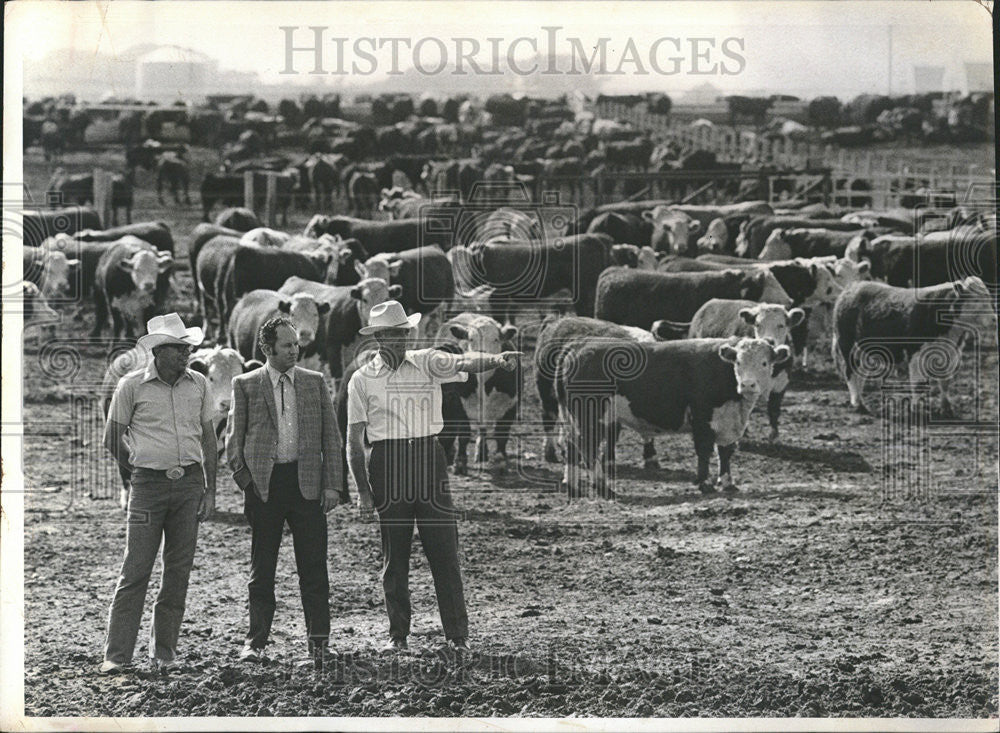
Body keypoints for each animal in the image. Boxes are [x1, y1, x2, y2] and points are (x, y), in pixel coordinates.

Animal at [556, 338, 788, 498]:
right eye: (738, 362)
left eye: (765, 363)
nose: (747, 385)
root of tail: (578, 346)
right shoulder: (702, 418)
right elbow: (704, 451)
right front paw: (704, 483)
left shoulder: (728, 424)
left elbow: (725, 452)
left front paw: (728, 482)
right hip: (590, 417)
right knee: (588, 448)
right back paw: (602, 486)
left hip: (574, 417)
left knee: (572, 444)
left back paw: (573, 485)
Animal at [832, 274, 996, 414]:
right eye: (975, 300)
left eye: (988, 297)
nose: (994, 319)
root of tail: (852, 287)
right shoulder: (916, 353)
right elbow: (918, 385)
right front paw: (917, 409)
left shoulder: (952, 354)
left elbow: (945, 382)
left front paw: (946, 408)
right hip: (848, 344)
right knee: (850, 371)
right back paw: (858, 404)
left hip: (865, 351)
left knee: (861, 373)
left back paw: (860, 401)